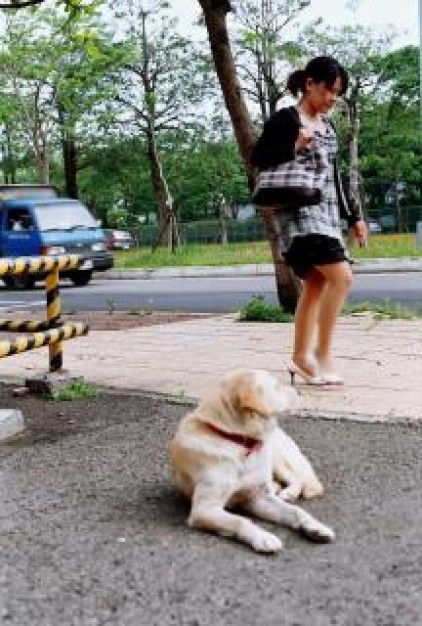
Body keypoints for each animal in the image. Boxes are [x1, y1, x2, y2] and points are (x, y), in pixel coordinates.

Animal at [170, 368, 334, 548]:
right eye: (276, 386)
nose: (299, 392)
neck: (238, 441)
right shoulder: (204, 508)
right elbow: (239, 521)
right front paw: (264, 538)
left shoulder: (258, 497)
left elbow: (297, 511)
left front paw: (315, 526)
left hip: (275, 457)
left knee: (297, 479)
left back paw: (288, 493)